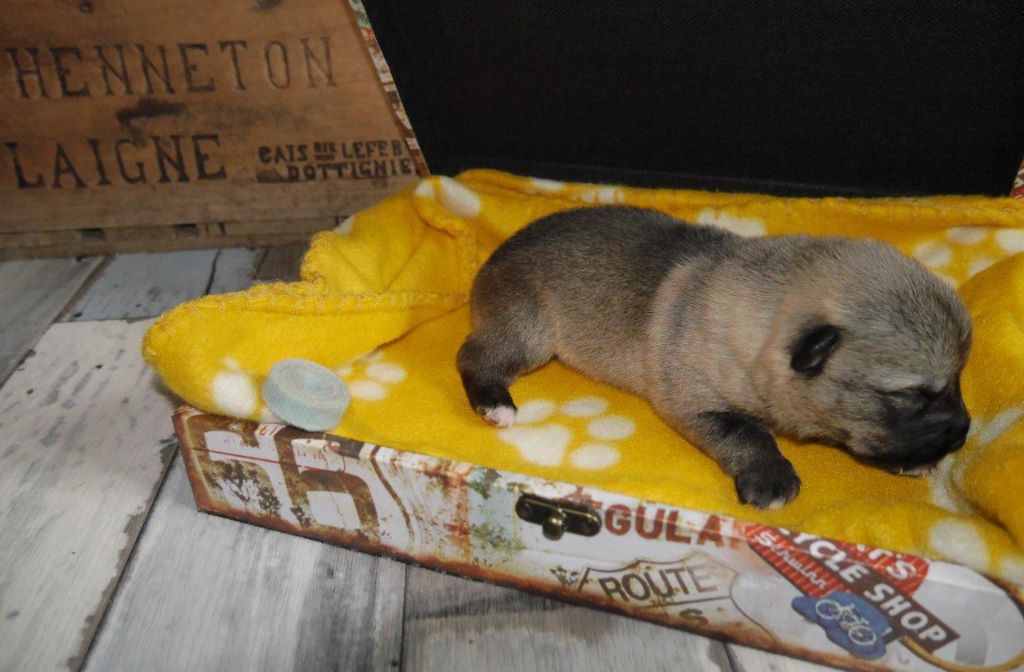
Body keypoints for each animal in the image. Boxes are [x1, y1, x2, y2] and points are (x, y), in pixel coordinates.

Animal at [457, 206, 971, 509]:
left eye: (957, 381)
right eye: (913, 395)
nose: (965, 430)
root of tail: (490, 261)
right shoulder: (696, 403)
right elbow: (746, 433)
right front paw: (771, 477)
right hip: (529, 329)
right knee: (474, 355)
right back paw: (495, 404)